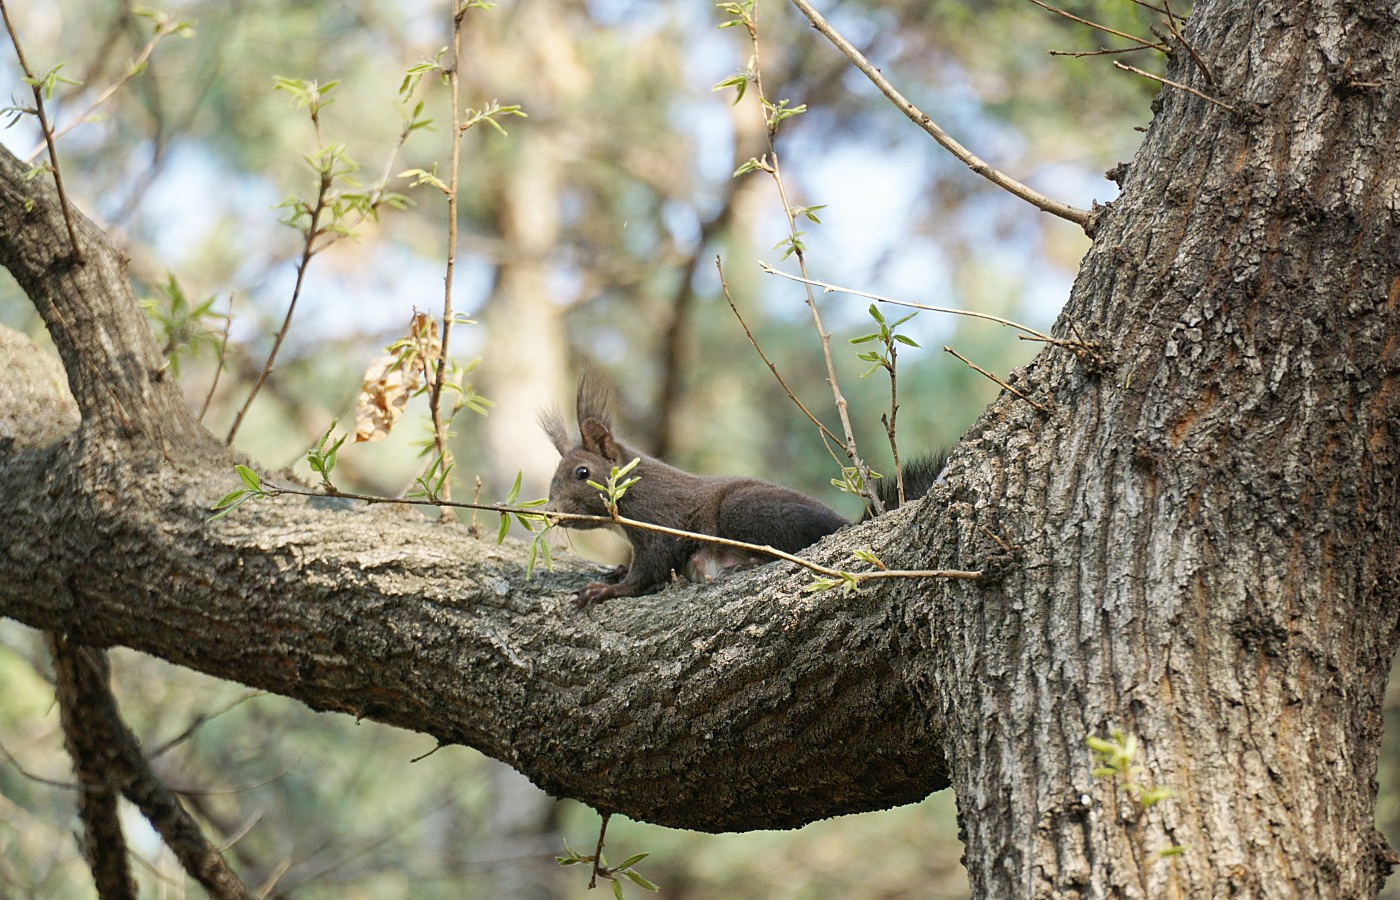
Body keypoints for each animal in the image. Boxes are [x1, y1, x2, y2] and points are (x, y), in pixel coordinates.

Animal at [540, 372, 946, 604]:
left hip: (743, 507)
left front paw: (608, 590)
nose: (550, 511)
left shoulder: (660, 523)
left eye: (581, 472)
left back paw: (744, 564)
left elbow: (650, 568)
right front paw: (616, 571)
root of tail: (844, 524)